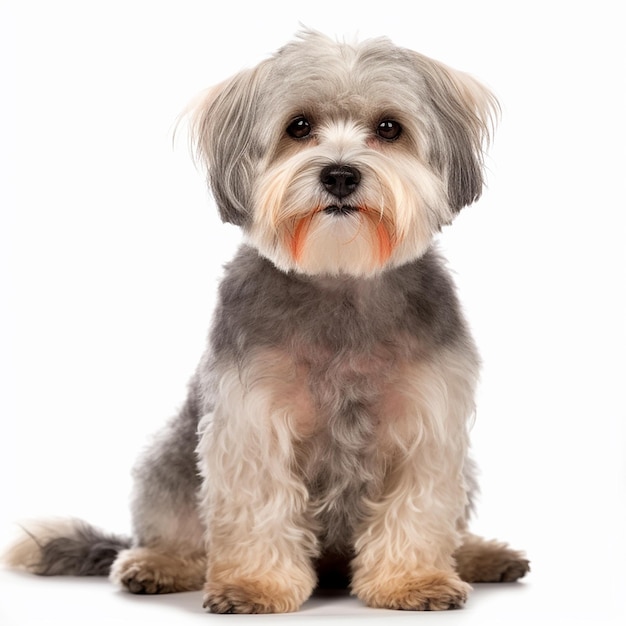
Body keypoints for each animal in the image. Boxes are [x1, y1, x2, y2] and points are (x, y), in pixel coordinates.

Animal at [3, 31, 528, 612]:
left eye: (389, 128)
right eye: (298, 126)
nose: (339, 174)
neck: (339, 279)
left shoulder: (425, 422)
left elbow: (420, 506)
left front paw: (413, 580)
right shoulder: (249, 421)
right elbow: (258, 505)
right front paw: (255, 584)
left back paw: (480, 555)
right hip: (169, 456)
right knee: (176, 528)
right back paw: (157, 562)